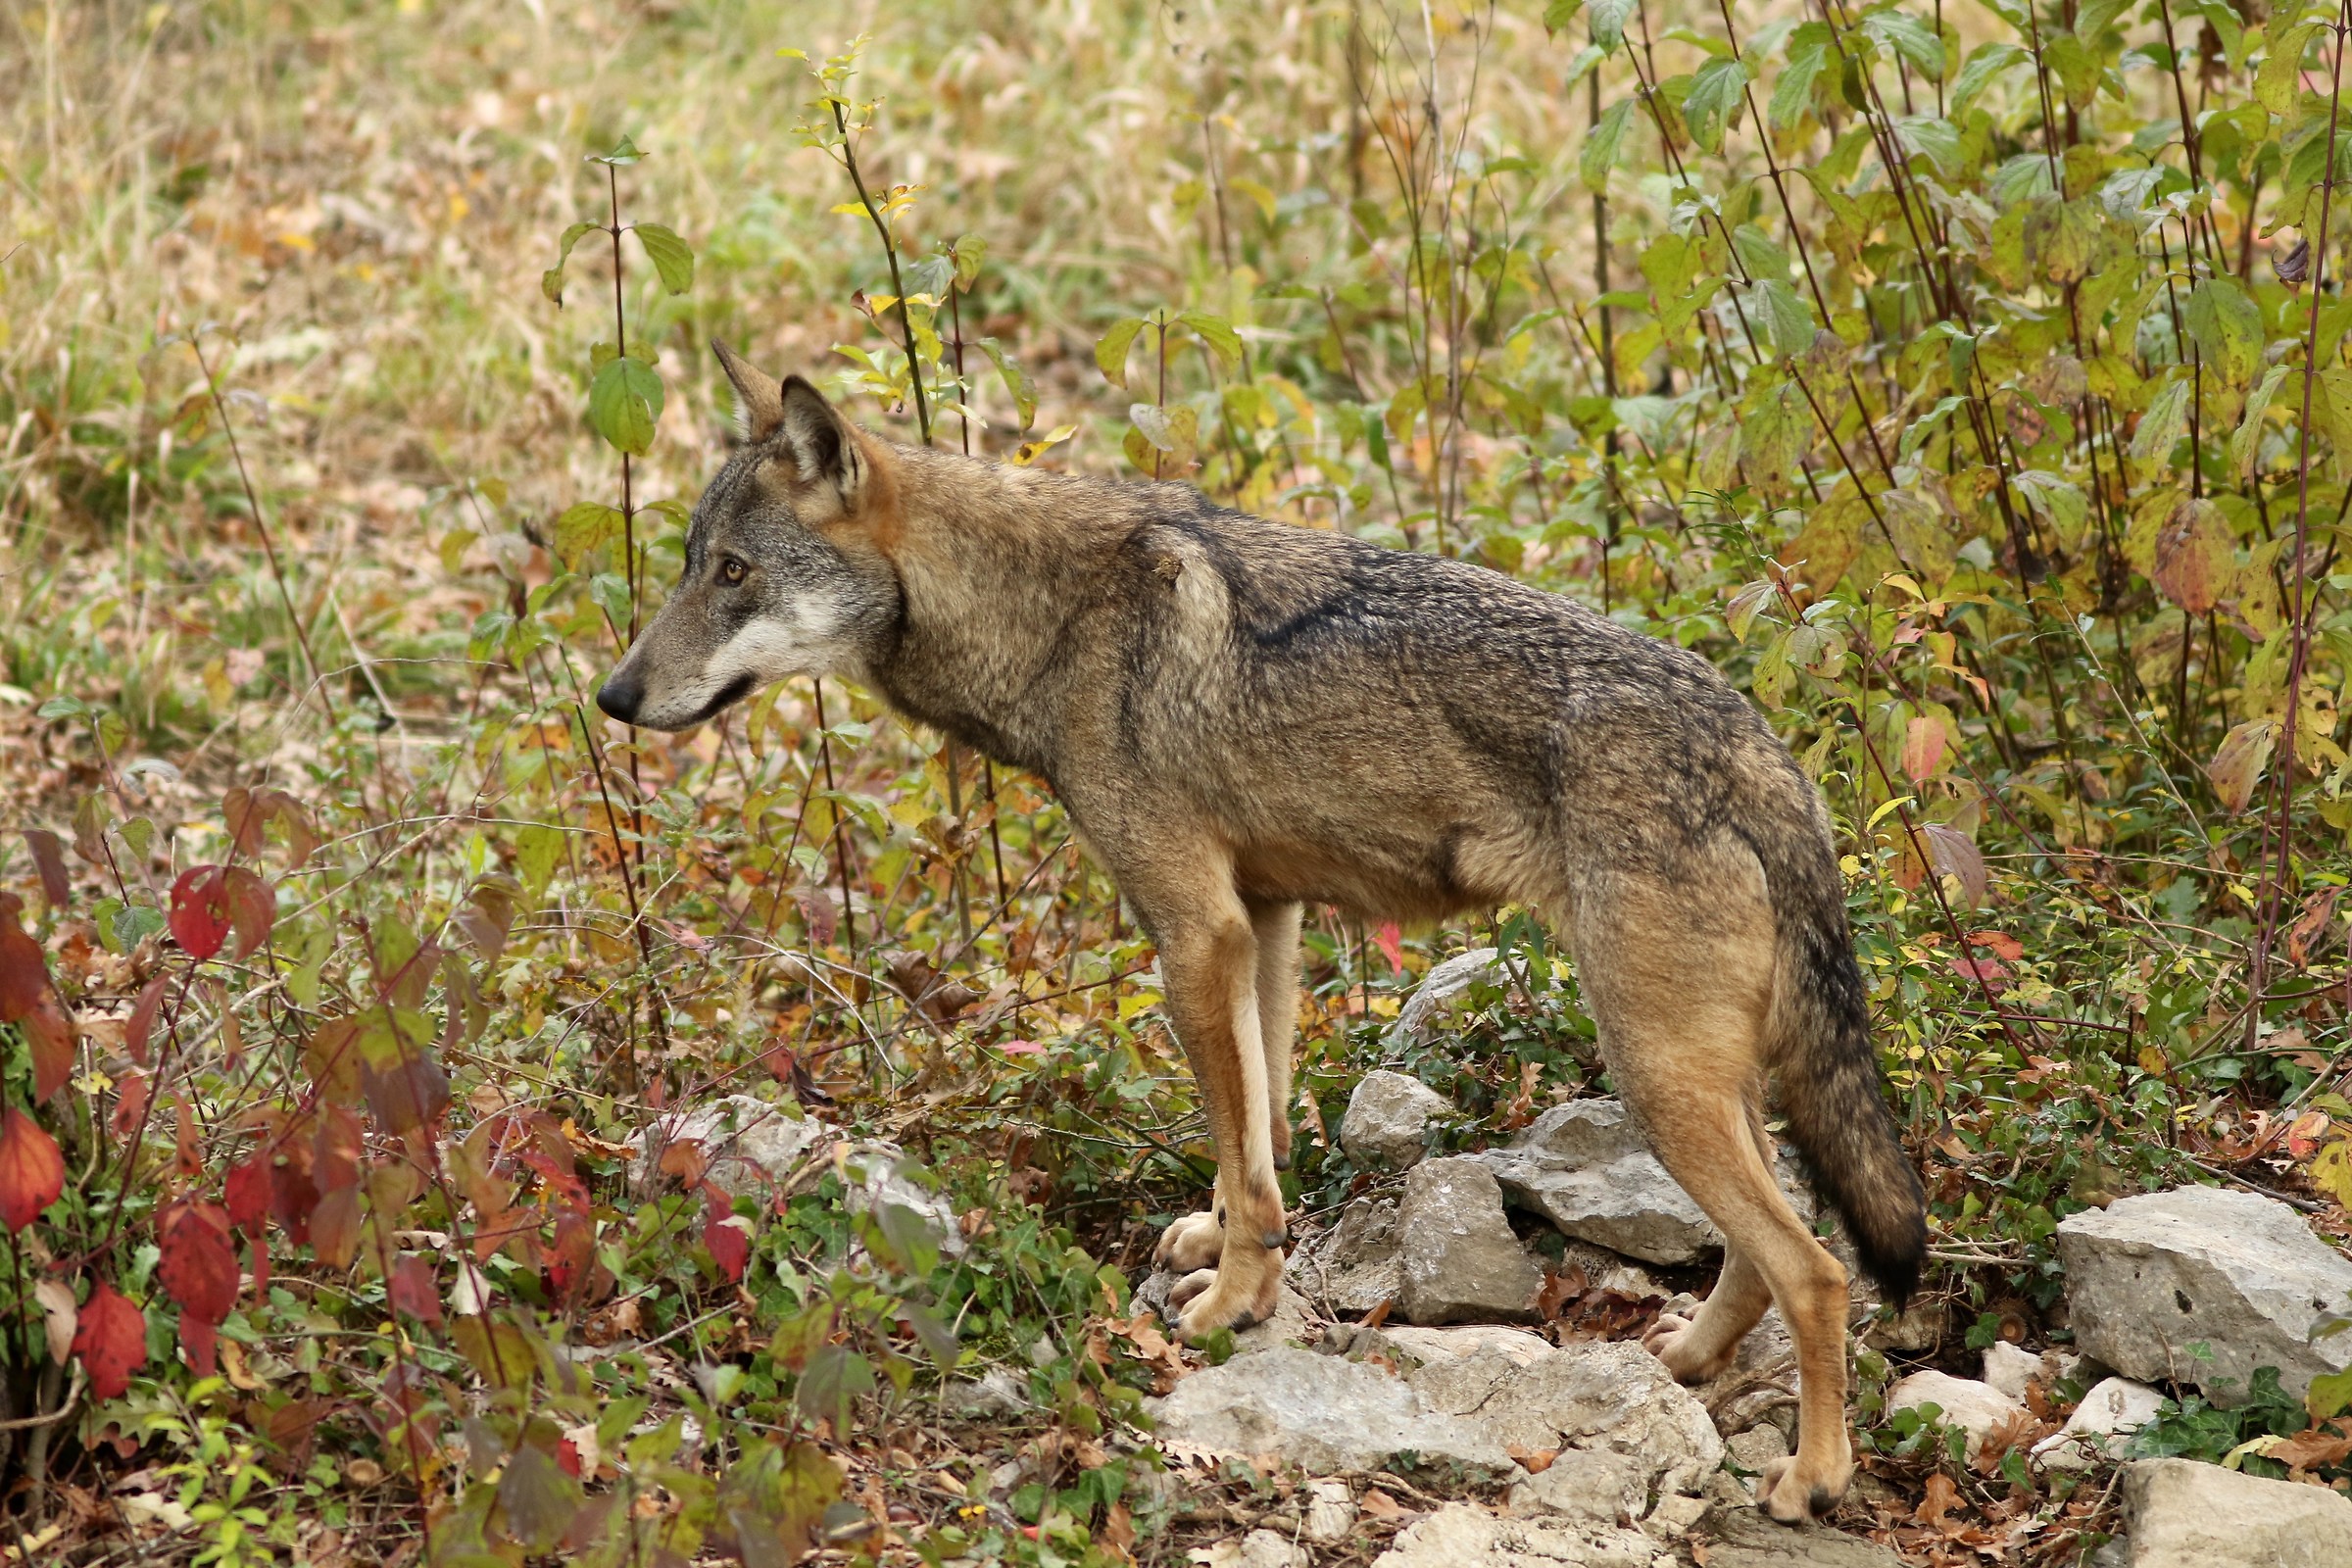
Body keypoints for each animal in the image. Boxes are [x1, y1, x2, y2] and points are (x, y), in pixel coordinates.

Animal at [597, 345, 1927, 1522]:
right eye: (691, 566)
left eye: (732, 573)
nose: (611, 697)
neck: (1047, 618)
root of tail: (1767, 757)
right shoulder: (1267, 919)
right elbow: (1265, 1126)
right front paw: (1235, 1254)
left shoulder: (1195, 930)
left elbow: (1242, 1150)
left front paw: (1229, 1305)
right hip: (1702, 1081)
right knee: (1768, 1248)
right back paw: (1686, 1362)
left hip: (1656, 1075)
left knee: (1817, 1270)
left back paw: (1813, 1478)